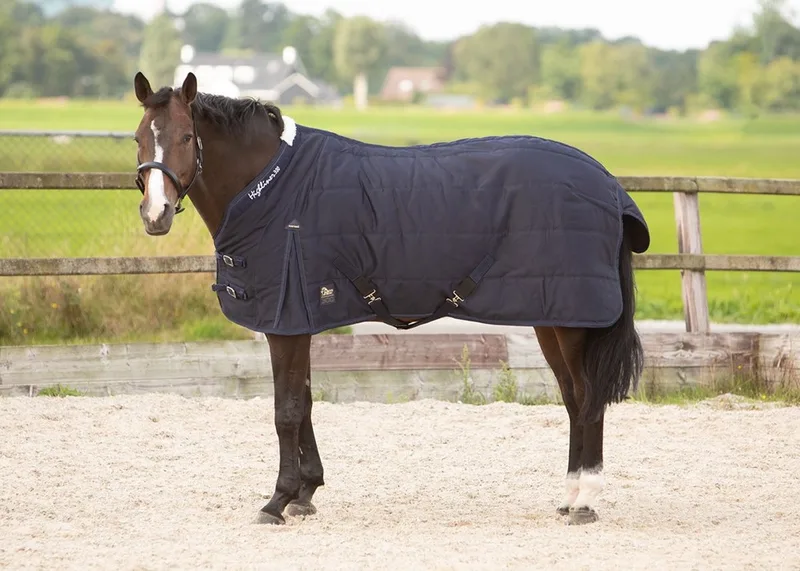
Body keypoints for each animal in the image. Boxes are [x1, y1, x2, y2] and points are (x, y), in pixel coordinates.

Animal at [131, 71, 650, 526]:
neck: (275, 188)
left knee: (588, 400)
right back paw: (569, 498)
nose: (156, 215)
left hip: (573, 322)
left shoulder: (287, 322)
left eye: (185, 137)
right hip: (551, 317)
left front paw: (278, 500)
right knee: (574, 399)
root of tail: (608, 184)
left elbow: (287, 411)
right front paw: (306, 492)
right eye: (138, 138)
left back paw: (585, 501)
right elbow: (307, 402)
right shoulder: (300, 319)